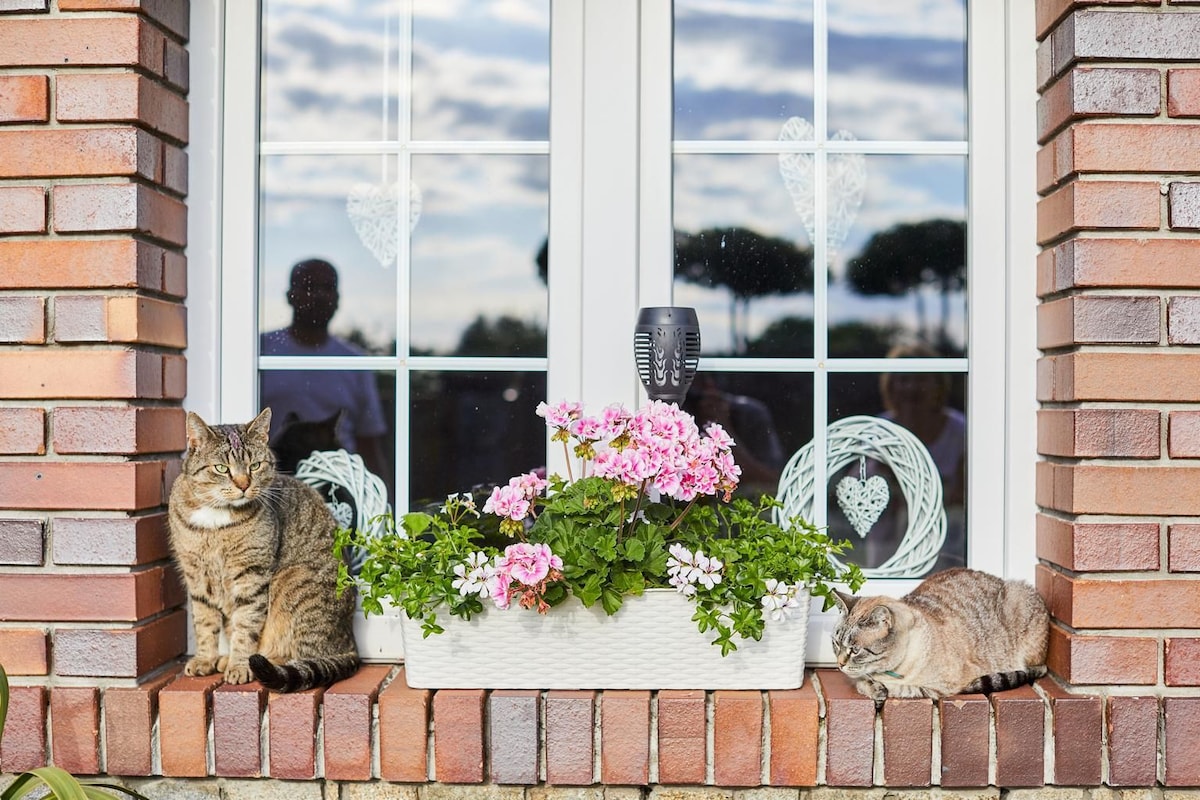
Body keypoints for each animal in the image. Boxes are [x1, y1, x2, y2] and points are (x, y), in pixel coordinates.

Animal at [168, 410, 360, 690]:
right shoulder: (196, 577)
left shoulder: (251, 576)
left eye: (255, 466)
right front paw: (205, 659)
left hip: (293, 581)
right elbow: (204, 623)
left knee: (299, 656)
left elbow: (246, 626)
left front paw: (239, 666)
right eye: (221, 468)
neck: (216, 519)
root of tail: (350, 643)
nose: (243, 485)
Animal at [830, 568, 1046, 705]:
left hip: (1020, 601)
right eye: (835, 644)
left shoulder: (942, 688)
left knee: (1036, 669)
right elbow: (862, 682)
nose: (839, 665)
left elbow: (904, 689)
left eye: (855, 650)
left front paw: (880, 688)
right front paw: (871, 687)